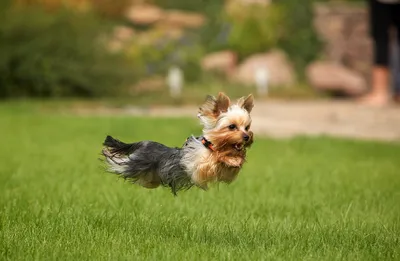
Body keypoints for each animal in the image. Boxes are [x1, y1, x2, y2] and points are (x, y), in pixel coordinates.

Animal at [102, 92, 253, 194]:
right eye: (232, 126)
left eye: (247, 127)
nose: (247, 137)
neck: (210, 145)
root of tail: (143, 143)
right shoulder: (199, 166)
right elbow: (211, 160)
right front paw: (230, 158)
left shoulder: (225, 173)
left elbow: (228, 169)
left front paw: (236, 159)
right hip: (135, 164)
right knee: (120, 163)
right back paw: (108, 155)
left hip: (150, 177)